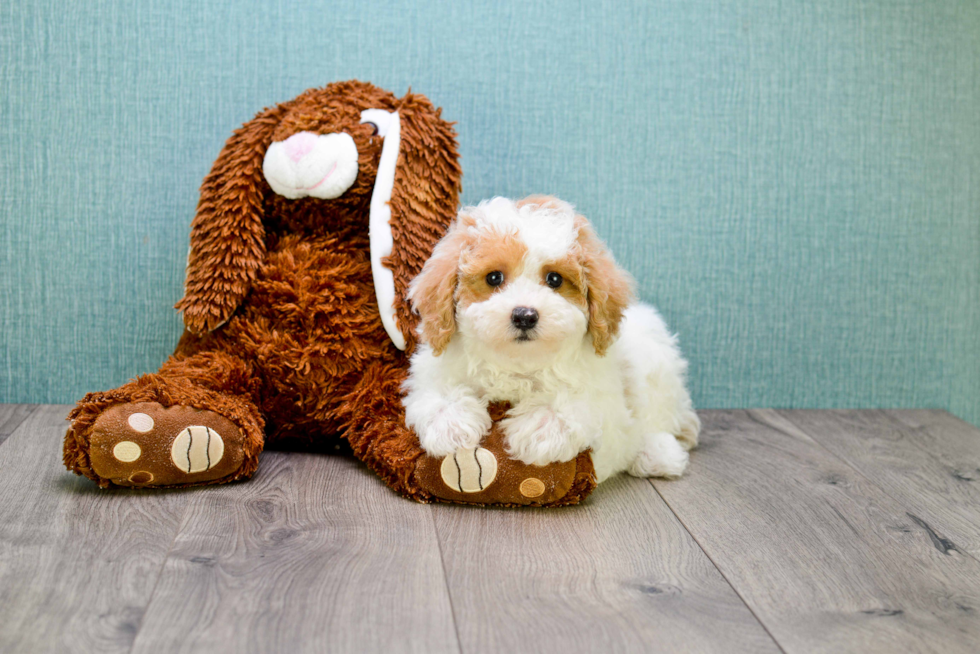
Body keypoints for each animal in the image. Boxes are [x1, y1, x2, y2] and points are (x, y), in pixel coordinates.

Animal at [402, 195, 700, 482]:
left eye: (555, 279)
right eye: (494, 277)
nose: (524, 316)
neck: (517, 364)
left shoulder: (605, 400)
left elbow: (579, 403)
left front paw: (541, 427)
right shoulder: (436, 368)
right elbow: (437, 390)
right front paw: (450, 424)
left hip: (655, 363)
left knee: (658, 418)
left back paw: (657, 453)